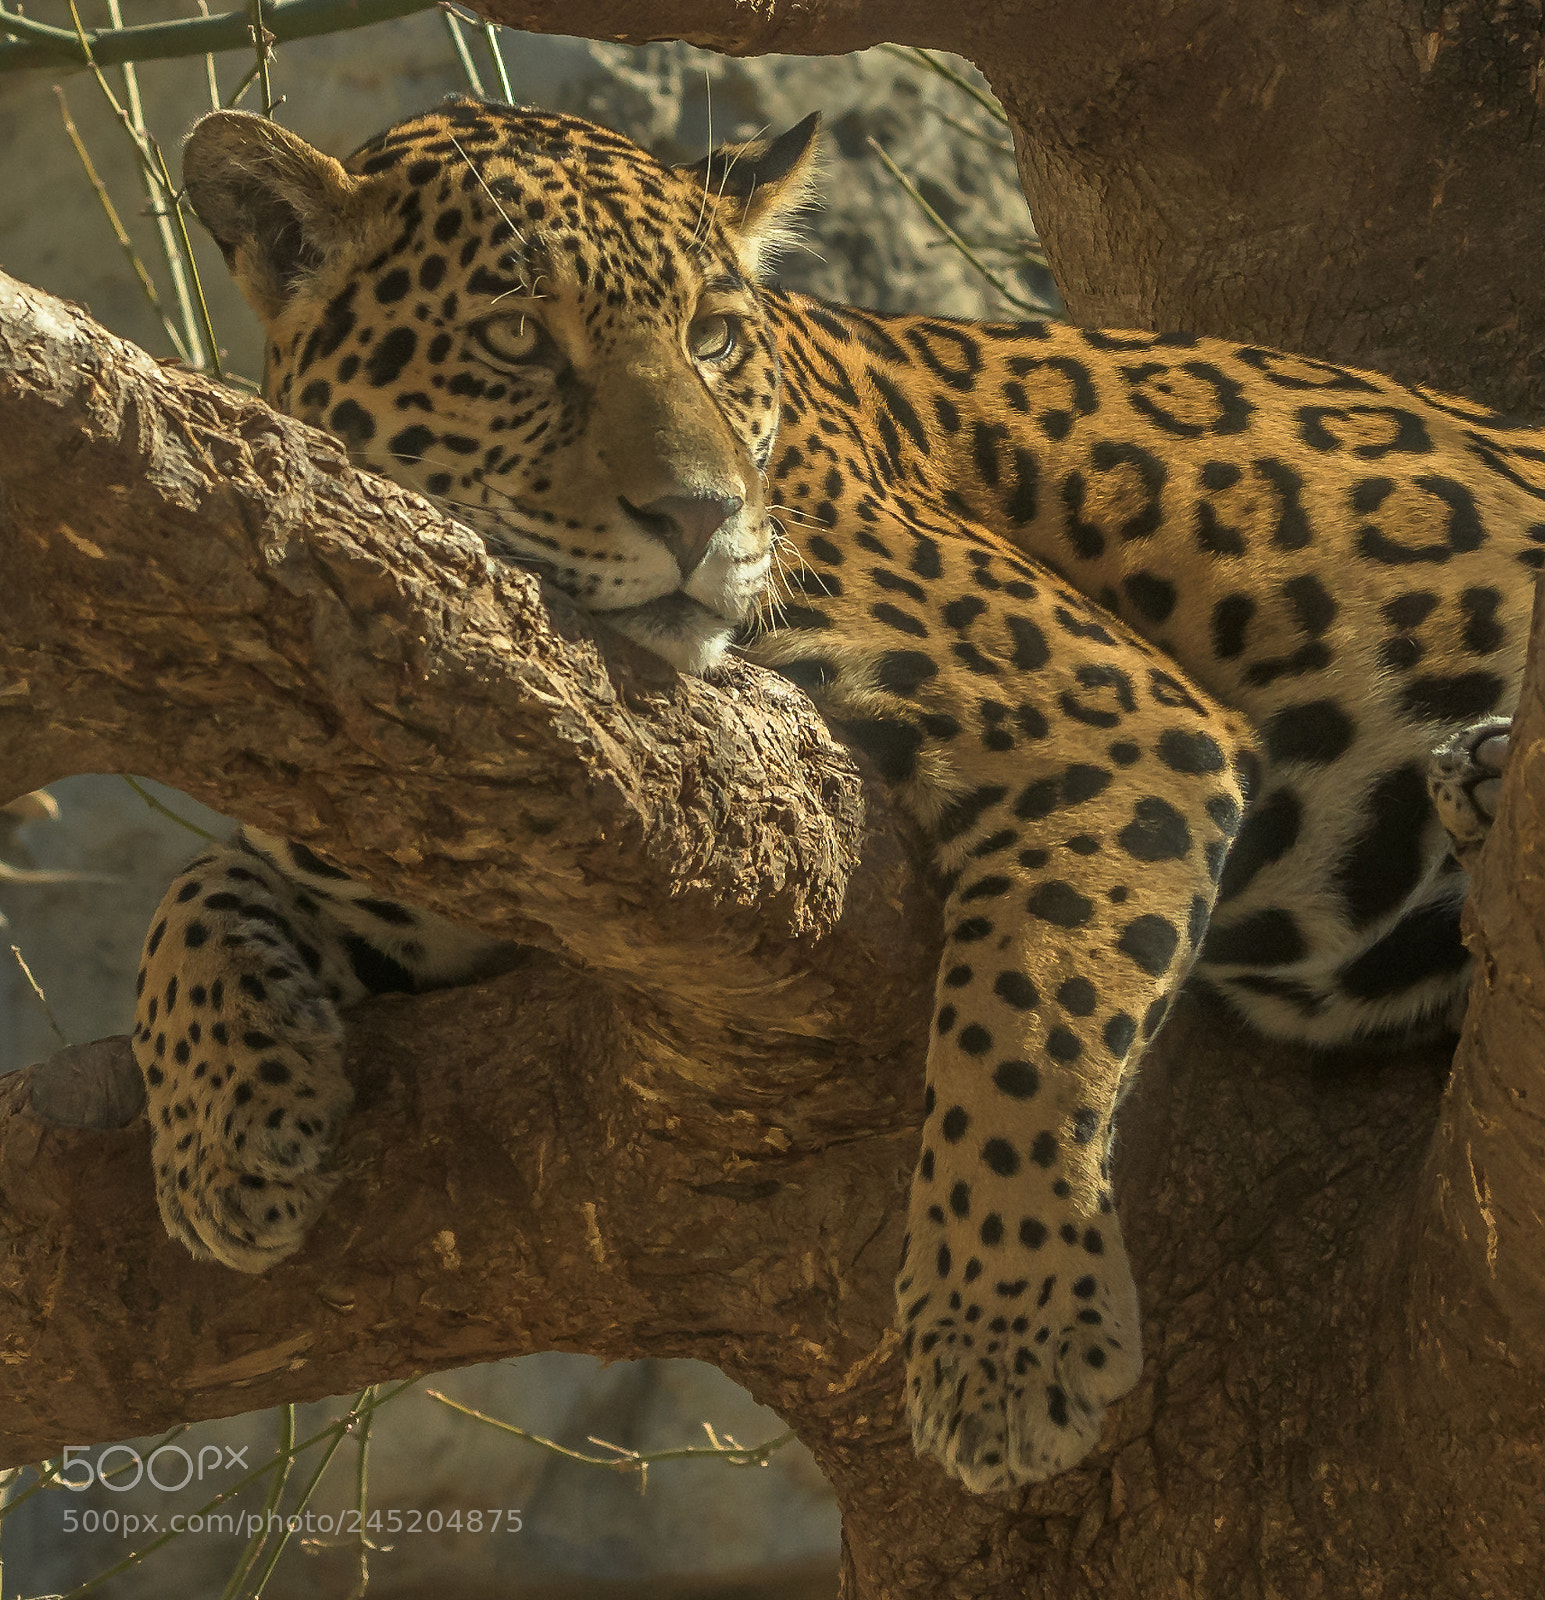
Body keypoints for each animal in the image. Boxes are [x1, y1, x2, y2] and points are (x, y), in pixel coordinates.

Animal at [131, 95, 1532, 1496]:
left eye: (712, 334)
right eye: (514, 337)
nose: (699, 517)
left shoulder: (1117, 713)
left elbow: (1026, 1014)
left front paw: (1005, 1332)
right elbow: (194, 889)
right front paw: (222, 1133)